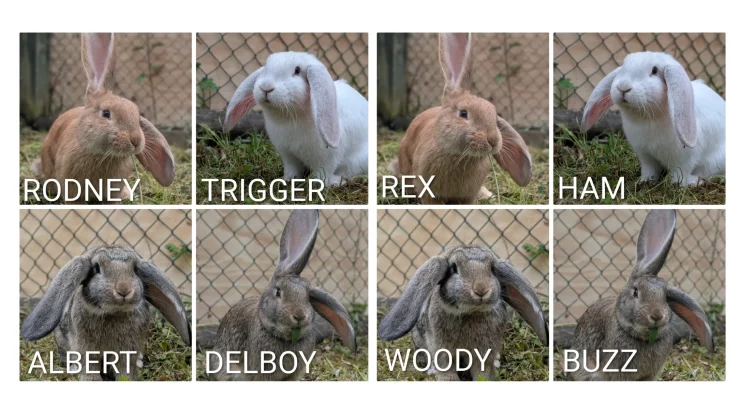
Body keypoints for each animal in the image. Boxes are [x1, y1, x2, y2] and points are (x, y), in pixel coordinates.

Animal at [20, 245, 191, 381]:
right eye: (96, 268)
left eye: (135, 270)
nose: (124, 289)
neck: (114, 312)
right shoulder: (86, 349)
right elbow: (90, 368)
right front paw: (92, 381)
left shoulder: (127, 351)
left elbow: (125, 371)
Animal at [223, 51, 368, 188]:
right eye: (266, 67)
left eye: (297, 70)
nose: (266, 87)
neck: (290, 119)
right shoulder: (288, 155)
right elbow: (292, 169)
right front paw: (288, 180)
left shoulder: (327, 158)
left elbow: (323, 174)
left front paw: (329, 183)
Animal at [378, 245, 548, 381]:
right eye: (454, 268)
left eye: (492, 269)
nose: (481, 289)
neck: (471, 312)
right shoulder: (441, 348)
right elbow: (445, 367)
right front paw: (449, 380)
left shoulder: (485, 350)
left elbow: (482, 370)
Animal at [388, 33, 532, 204]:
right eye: (463, 114)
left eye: (494, 116)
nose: (493, 141)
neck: (459, 156)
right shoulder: (428, 191)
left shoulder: (469, 195)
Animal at [581, 51, 725, 187]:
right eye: (623, 67)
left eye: (654, 70)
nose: (623, 87)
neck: (647, 119)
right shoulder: (645, 156)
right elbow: (649, 170)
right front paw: (645, 182)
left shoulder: (684, 158)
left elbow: (680, 174)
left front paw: (687, 184)